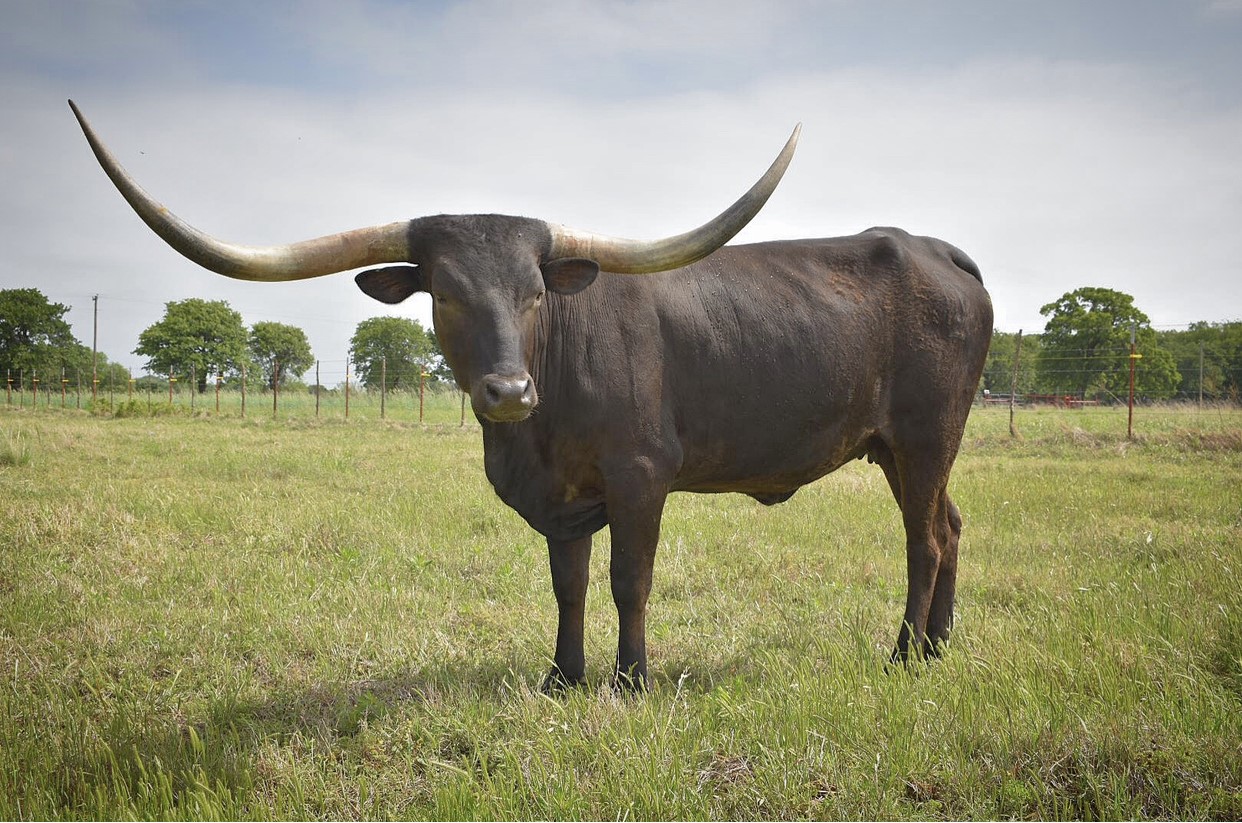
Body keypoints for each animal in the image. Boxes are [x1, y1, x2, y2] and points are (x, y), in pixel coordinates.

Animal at [70, 100, 993, 691]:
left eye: (535, 291)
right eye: (444, 293)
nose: (510, 389)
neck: (533, 432)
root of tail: (935, 248)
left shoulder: (640, 476)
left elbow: (628, 578)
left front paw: (631, 679)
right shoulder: (564, 497)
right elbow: (569, 582)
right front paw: (561, 676)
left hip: (923, 438)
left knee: (923, 540)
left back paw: (902, 656)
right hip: (907, 448)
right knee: (950, 525)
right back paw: (938, 649)